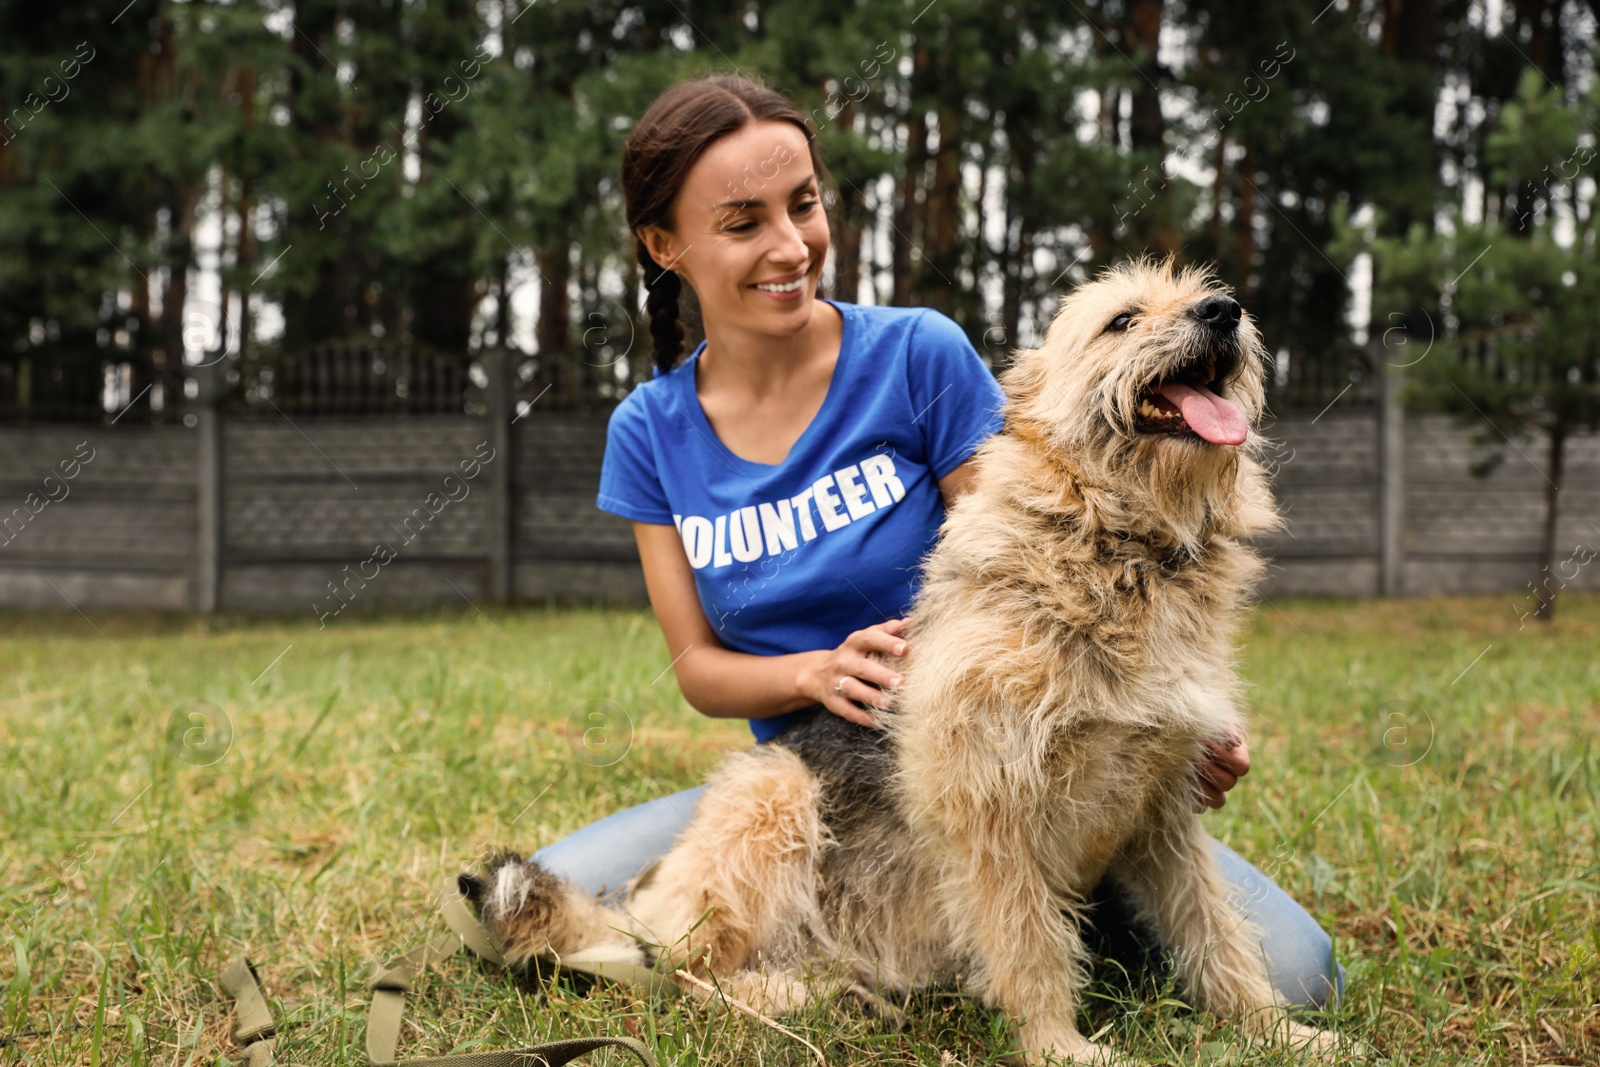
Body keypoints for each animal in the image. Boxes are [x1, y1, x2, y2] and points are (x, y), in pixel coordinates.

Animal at [457, 260, 1331, 1067]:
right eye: (1122, 320)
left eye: (1207, 297)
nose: (1225, 312)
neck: (1119, 551)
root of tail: (650, 904)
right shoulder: (992, 808)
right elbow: (1028, 944)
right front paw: (1060, 1047)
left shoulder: (1163, 810)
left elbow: (1214, 929)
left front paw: (1275, 1032)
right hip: (773, 796)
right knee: (687, 970)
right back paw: (801, 998)